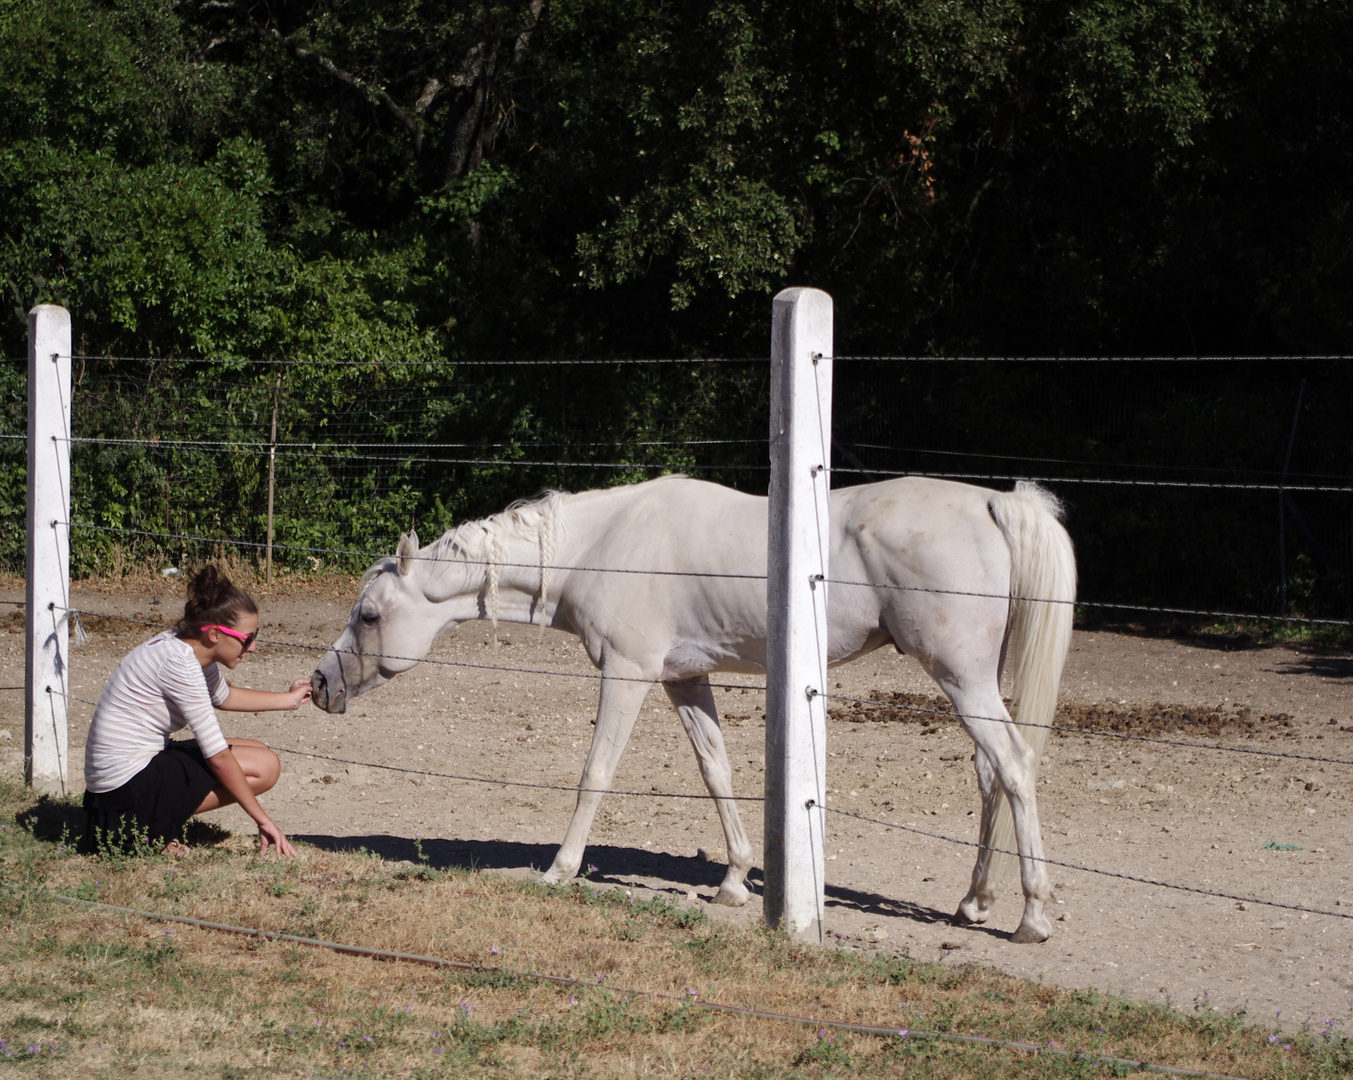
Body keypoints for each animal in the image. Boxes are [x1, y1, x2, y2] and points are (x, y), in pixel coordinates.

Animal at [311, 479, 1071, 941]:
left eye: (369, 615)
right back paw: (974, 901)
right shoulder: (685, 680)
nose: (320, 684)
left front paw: (559, 869)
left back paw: (1032, 914)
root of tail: (992, 503)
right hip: (969, 682)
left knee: (1014, 765)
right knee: (990, 773)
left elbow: (596, 774)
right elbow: (717, 774)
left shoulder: (627, 674)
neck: (602, 546)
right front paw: (733, 882)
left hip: (960, 678)